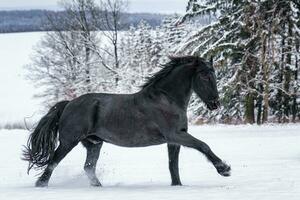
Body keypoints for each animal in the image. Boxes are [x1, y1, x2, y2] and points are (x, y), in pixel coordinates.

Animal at [23, 55, 231, 188]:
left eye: (214, 75)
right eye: (204, 75)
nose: (215, 104)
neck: (166, 99)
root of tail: (68, 104)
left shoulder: (174, 140)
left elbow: (173, 166)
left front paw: (178, 186)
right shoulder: (176, 135)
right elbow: (203, 145)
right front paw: (224, 169)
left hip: (94, 143)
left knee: (88, 168)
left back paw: (99, 187)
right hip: (69, 142)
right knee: (52, 163)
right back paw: (41, 185)